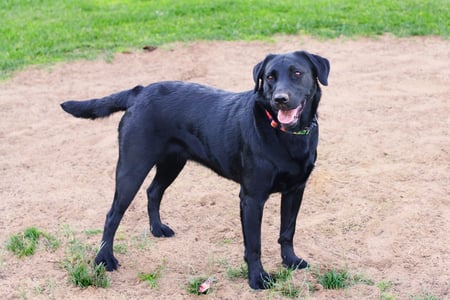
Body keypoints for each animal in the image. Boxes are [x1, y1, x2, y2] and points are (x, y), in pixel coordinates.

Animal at [60, 50, 326, 290]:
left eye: (297, 73)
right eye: (270, 77)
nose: (280, 98)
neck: (287, 136)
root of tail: (140, 91)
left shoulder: (295, 190)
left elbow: (287, 230)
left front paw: (290, 261)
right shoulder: (252, 198)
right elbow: (254, 245)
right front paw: (257, 279)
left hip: (172, 163)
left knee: (153, 192)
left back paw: (157, 229)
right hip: (132, 167)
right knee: (113, 214)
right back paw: (104, 259)